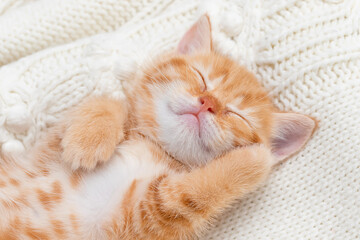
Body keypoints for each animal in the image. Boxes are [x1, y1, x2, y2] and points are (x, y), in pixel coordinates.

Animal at [0, 15, 316, 240]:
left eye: (237, 115)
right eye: (200, 77)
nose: (207, 103)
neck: (152, 147)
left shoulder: (144, 218)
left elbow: (194, 192)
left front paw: (254, 159)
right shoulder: (47, 148)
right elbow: (111, 102)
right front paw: (88, 139)